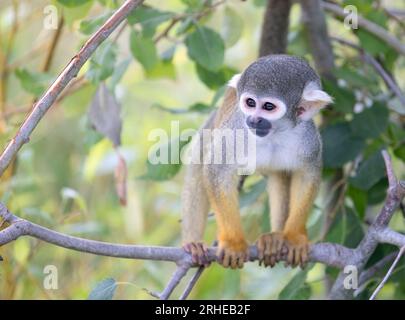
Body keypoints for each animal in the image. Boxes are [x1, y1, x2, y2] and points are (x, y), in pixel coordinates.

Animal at [181, 55, 332, 270]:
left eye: (268, 107)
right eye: (250, 102)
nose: (253, 120)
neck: (274, 133)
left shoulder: (308, 138)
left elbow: (306, 175)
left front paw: (294, 237)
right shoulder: (234, 130)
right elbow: (216, 171)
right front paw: (233, 243)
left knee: (279, 174)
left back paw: (275, 237)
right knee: (198, 169)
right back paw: (193, 243)